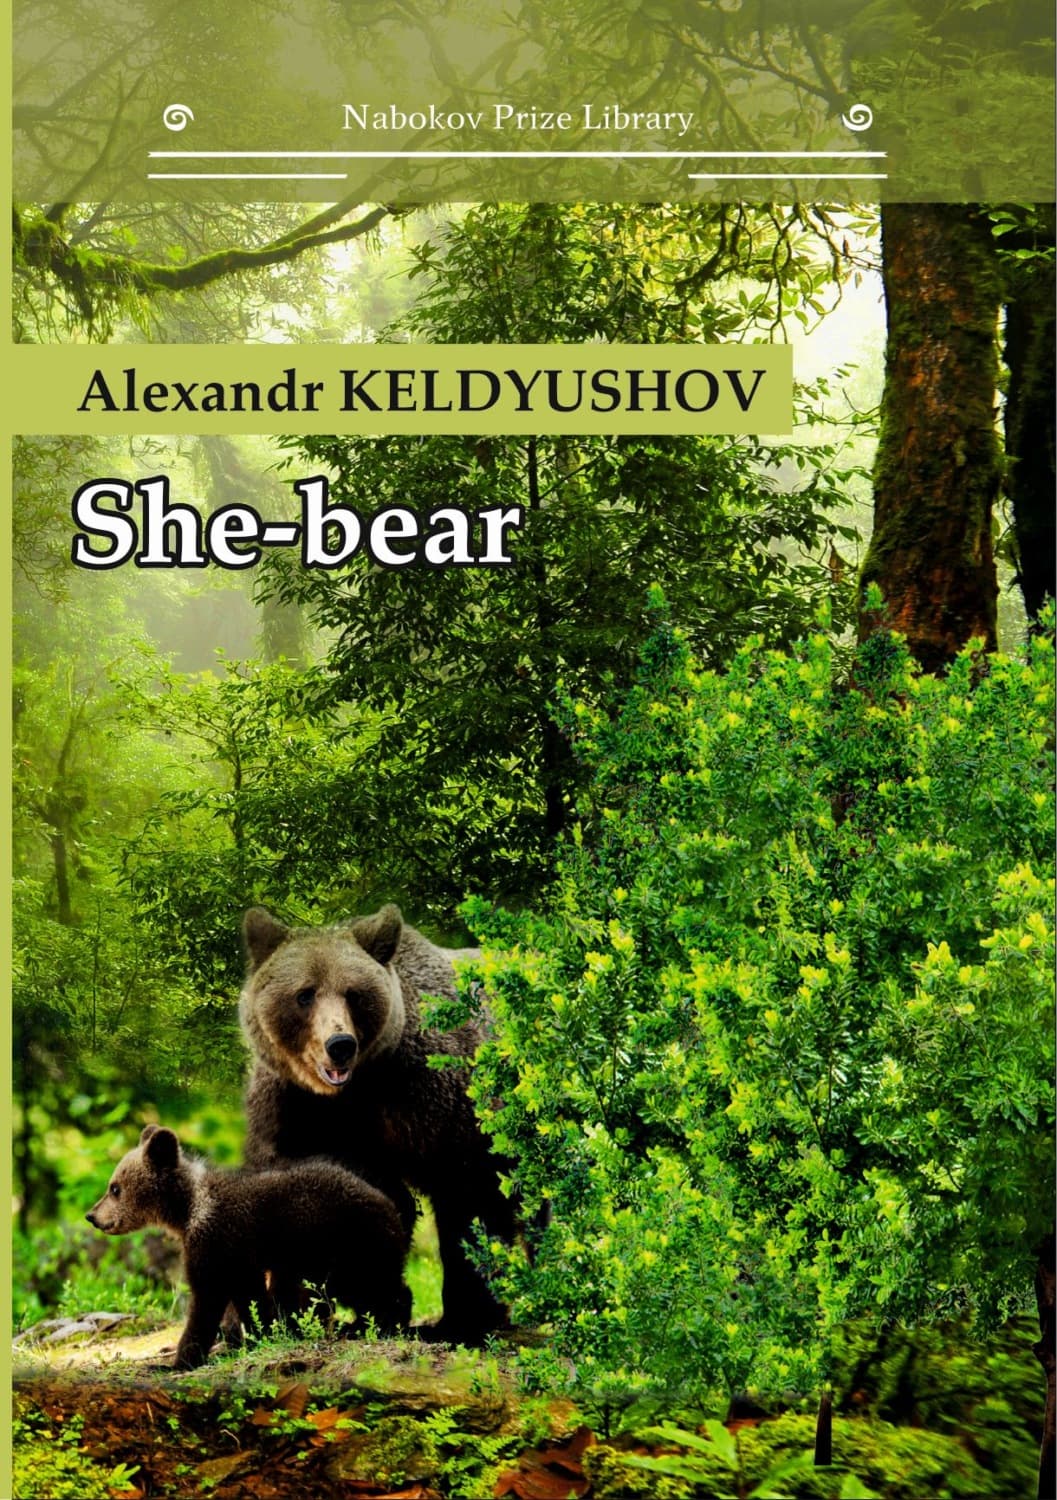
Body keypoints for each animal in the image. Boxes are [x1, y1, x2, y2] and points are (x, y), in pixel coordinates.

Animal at [86, 1124, 411, 1369]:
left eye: (115, 1188)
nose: (92, 1216)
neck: (186, 1210)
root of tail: (392, 1208)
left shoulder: (215, 1238)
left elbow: (207, 1298)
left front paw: (177, 1361)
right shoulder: (239, 1254)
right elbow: (248, 1296)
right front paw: (259, 1334)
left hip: (347, 1243)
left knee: (373, 1286)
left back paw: (385, 1324)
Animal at [239, 902, 517, 1344]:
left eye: (354, 994)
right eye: (304, 994)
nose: (339, 1045)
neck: (355, 1091)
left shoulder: (433, 1098)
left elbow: (470, 1195)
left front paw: (464, 1318)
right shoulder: (293, 1111)